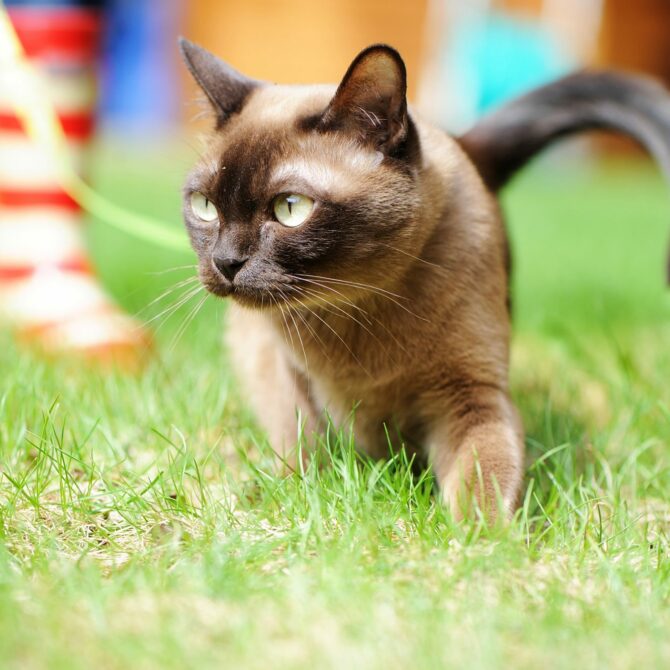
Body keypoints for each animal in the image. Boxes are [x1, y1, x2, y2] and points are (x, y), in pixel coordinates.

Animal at [178, 39, 670, 524]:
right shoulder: (287, 373)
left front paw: (477, 539)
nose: (226, 262)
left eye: (290, 208)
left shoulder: (472, 395)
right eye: (204, 206)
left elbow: (484, 480)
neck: (354, 312)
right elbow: (306, 449)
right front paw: (290, 503)